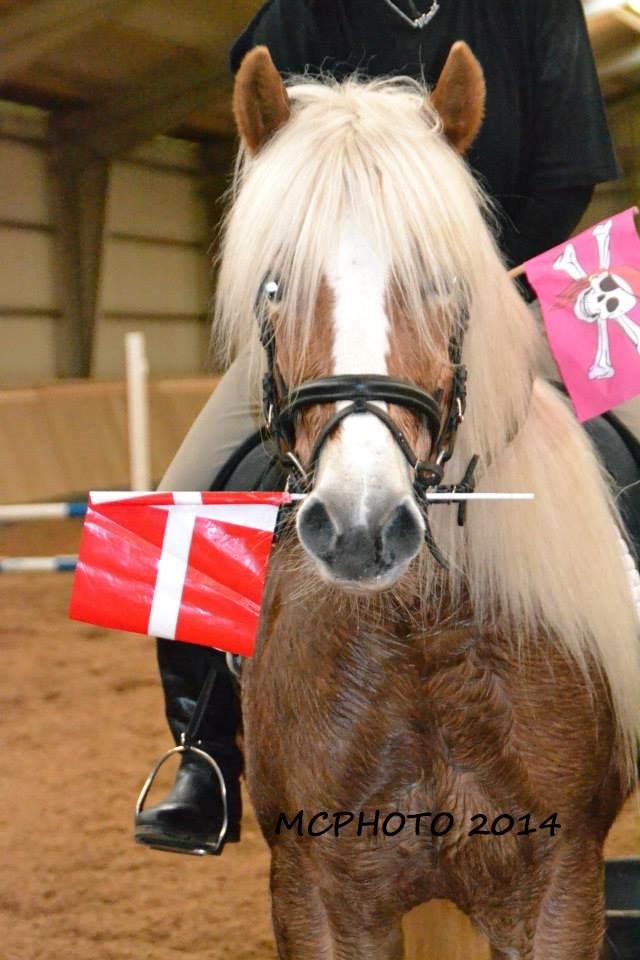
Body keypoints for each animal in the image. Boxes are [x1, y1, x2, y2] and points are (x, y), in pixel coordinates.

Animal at [216, 43, 640, 959]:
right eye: (274, 288)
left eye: (443, 281)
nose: (361, 527)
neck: (421, 638)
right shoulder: (318, 892)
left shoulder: (558, 885)